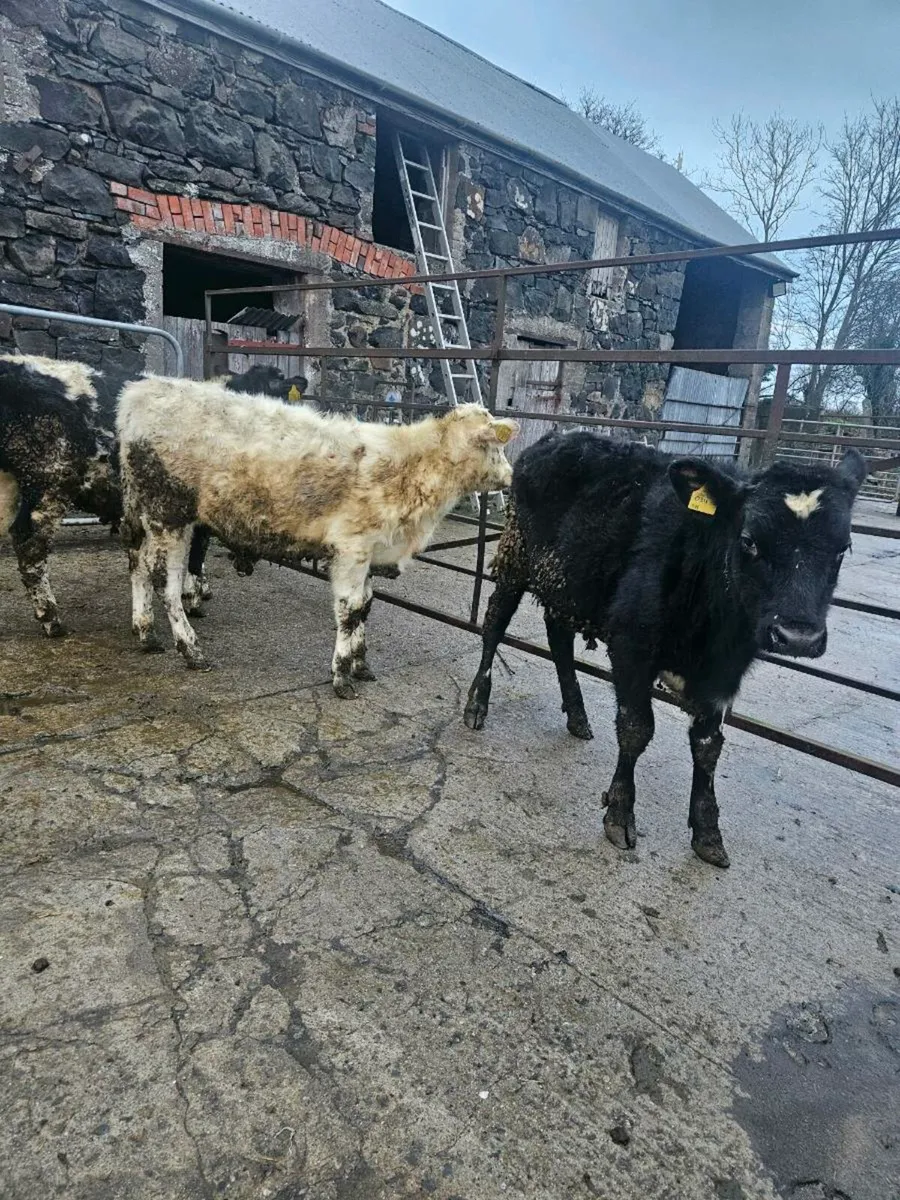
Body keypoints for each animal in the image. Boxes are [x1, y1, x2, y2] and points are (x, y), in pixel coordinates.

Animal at [116, 376, 517, 695]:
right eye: (495, 446)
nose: (510, 477)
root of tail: (141, 390)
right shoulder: (352, 548)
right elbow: (350, 609)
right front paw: (341, 676)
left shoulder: (370, 553)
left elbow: (366, 605)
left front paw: (361, 664)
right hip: (169, 512)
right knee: (166, 582)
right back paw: (191, 650)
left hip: (147, 514)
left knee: (138, 565)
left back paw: (146, 632)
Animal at [463, 432, 866, 868]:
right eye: (748, 541)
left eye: (843, 548)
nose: (798, 637)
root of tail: (560, 436)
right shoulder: (631, 645)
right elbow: (636, 729)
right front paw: (620, 814)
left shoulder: (725, 673)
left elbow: (707, 747)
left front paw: (708, 833)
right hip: (516, 556)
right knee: (494, 623)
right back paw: (477, 704)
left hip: (570, 584)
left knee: (559, 637)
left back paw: (577, 715)